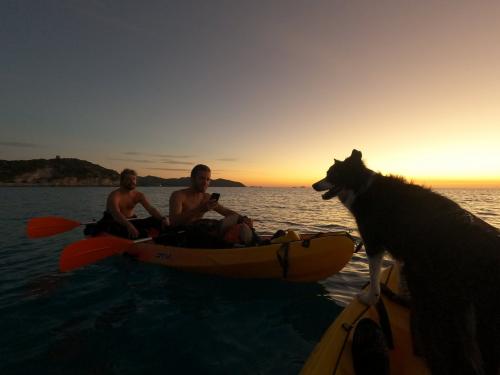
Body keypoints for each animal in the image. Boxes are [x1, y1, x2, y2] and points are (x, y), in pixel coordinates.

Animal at [314, 150, 498, 375]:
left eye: (332, 173)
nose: (313, 185)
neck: (363, 187)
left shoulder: (373, 243)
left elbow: (373, 278)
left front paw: (370, 298)